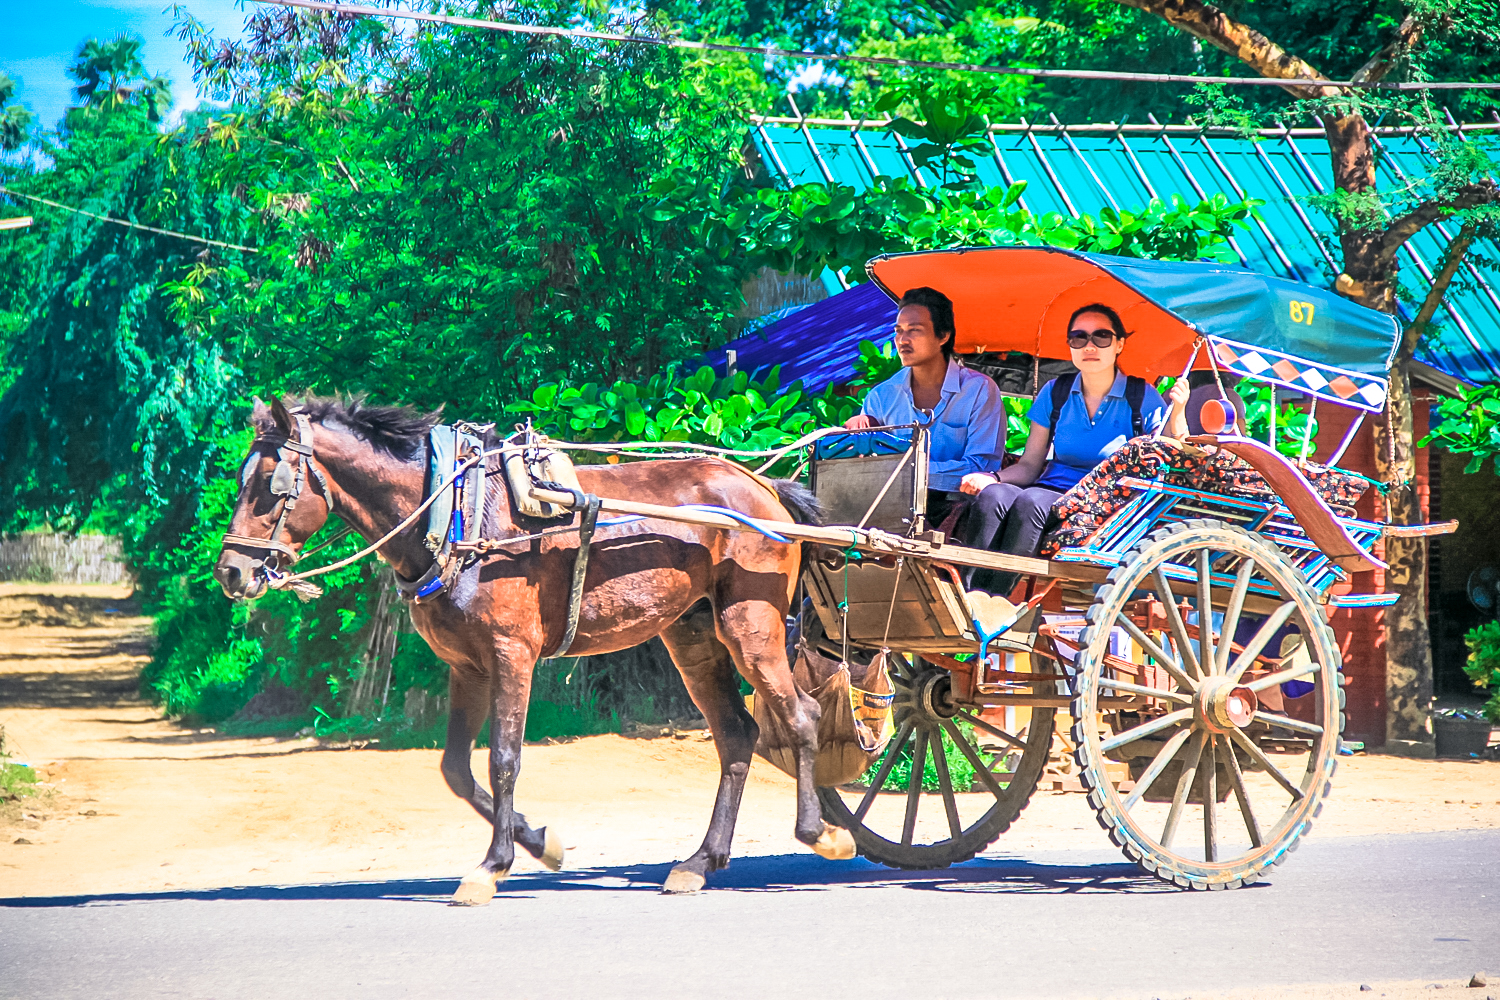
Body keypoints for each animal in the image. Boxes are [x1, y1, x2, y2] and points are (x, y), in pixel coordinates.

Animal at [213, 398, 852, 905]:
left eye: (270, 485)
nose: (230, 572)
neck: (456, 514)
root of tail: (764, 488)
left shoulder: (510, 653)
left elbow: (503, 759)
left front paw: (492, 867)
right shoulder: (466, 666)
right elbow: (455, 768)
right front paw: (540, 843)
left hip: (751, 625)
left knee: (800, 716)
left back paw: (822, 833)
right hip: (693, 635)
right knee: (737, 735)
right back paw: (700, 862)